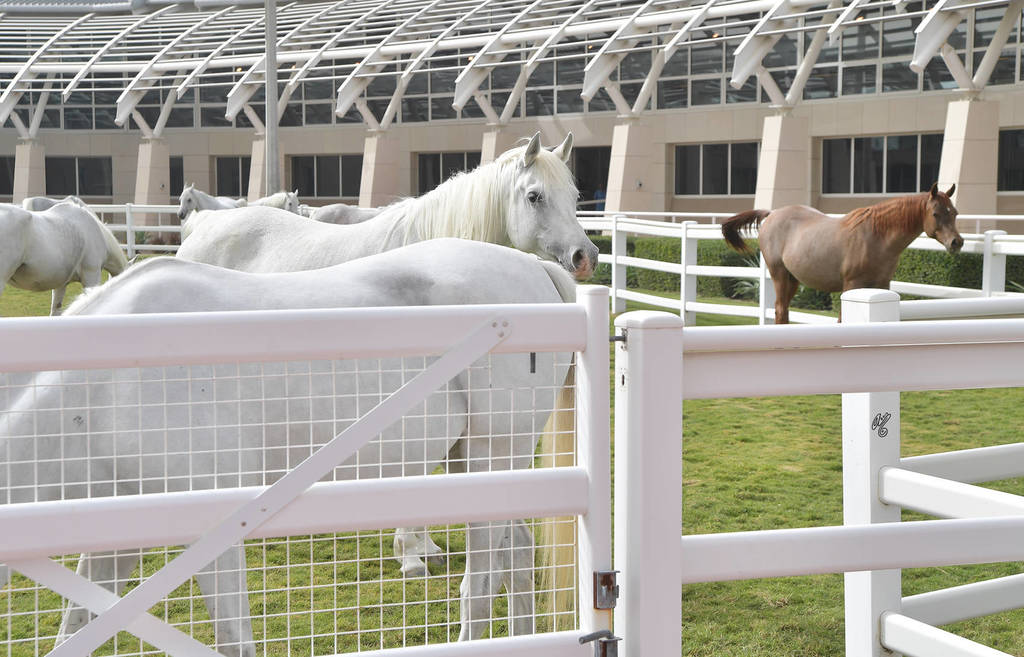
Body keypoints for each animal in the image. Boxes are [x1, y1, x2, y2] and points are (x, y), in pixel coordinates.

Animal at [0, 239, 576, 656]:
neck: (105, 384)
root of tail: (535, 268)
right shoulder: (118, 535)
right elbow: (76, 627)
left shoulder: (213, 534)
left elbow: (233, 641)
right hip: (475, 467)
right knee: (518, 557)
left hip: (493, 453)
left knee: (482, 584)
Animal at [720, 184, 963, 324]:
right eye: (936, 213)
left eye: (954, 212)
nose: (957, 242)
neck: (876, 237)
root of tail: (772, 213)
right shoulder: (851, 285)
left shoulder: (882, 285)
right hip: (778, 274)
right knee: (780, 310)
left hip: (793, 278)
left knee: (784, 311)